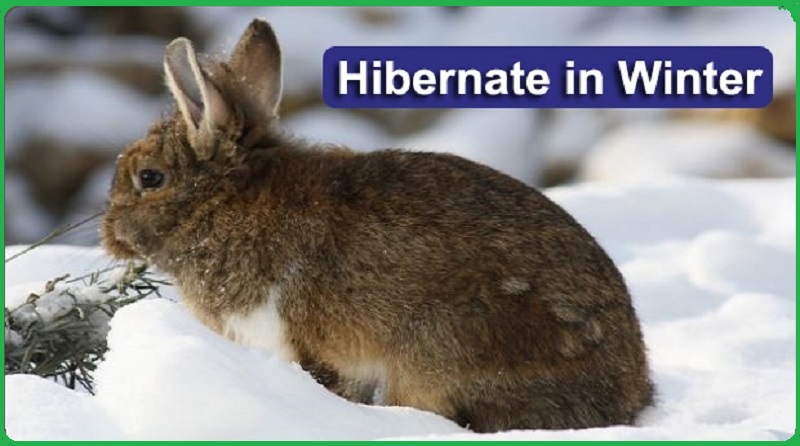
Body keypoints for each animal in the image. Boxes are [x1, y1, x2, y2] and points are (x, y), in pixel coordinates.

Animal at [101, 19, 654, 433]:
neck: (225, 202)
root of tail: (626, 397)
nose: (108, 235)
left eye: (150, 178)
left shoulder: (304, 344)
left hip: (445, 349)